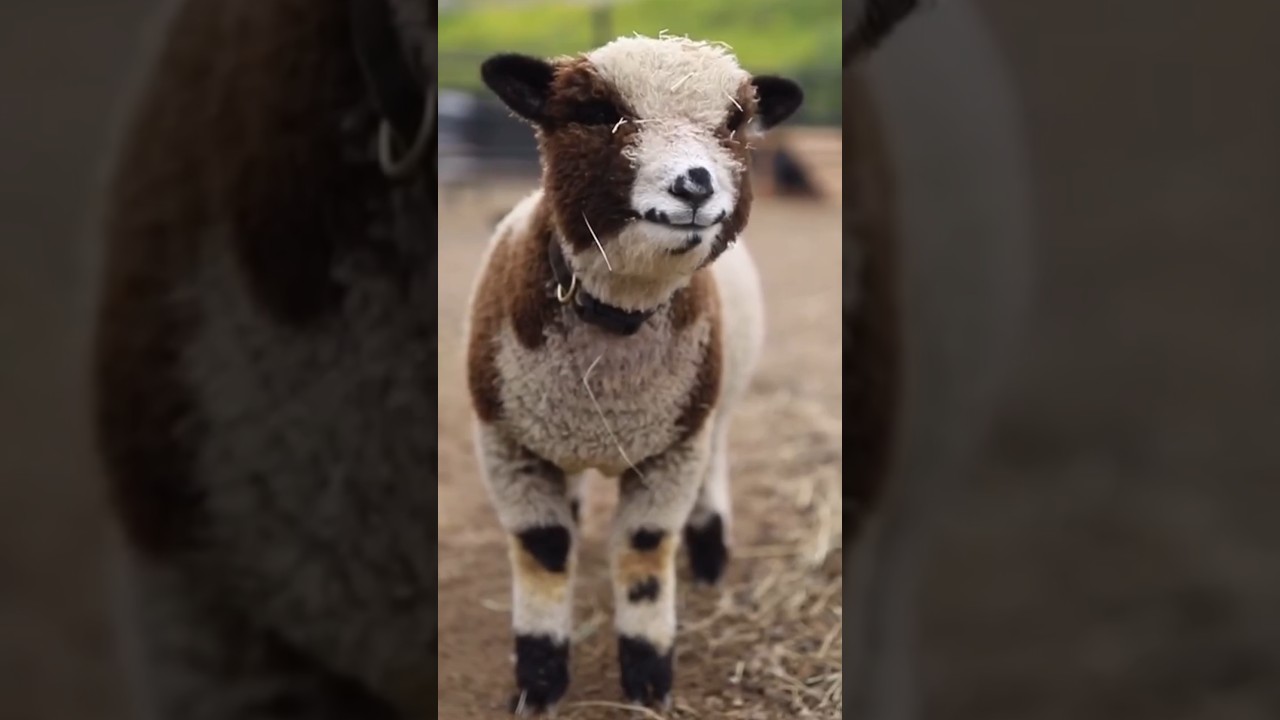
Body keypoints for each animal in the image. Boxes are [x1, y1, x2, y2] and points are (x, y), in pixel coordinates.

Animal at [466, 35, 803, 712]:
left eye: (735, 124)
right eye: (597, 114)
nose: (695, 184)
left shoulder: (674, 446)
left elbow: (645, 549)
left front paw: (648, 679)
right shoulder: (506, 441)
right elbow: (544, 550)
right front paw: (539, 681)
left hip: (712, 404)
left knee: (715, 463)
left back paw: (709, 552)